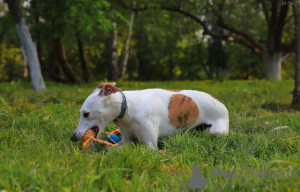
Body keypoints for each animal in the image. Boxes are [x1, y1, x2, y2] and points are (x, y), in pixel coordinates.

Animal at [71, 83, 230, 148]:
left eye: (86, 114)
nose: (73, 138)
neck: (130, 108)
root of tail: (219, 101)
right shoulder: (126, 140)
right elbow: (113, 147)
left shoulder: (150, 146)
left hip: (215, 131)